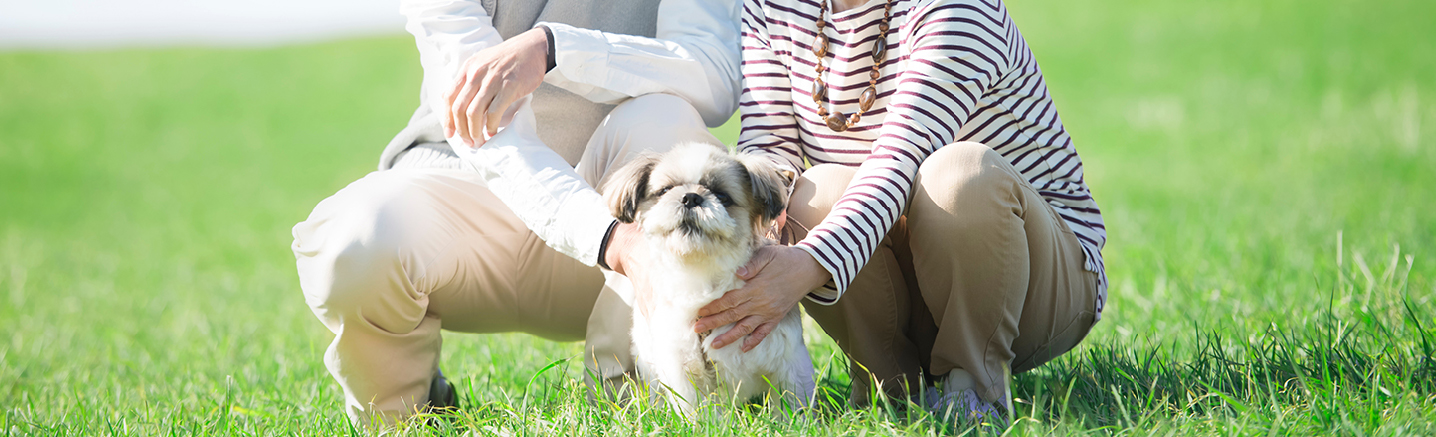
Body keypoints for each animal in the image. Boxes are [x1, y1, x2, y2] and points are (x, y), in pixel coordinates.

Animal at [600, 143, 815, 416]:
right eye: (666, 190)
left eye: (722, 196)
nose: (690, 197)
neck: (701, 275)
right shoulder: (681, 365)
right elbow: (696, 408)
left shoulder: (788, 361)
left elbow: (792, 405)